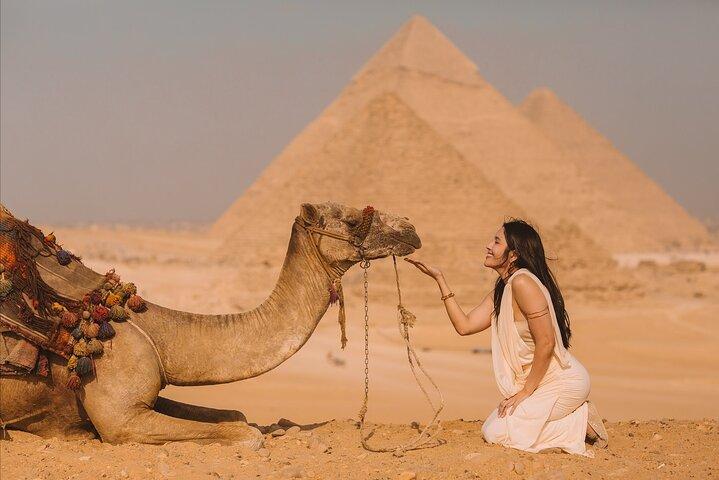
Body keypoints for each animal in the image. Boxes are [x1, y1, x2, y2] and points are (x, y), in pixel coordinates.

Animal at [0, 202, 421, 447]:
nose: (411, 230)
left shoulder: (144, 396)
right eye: (350, 221)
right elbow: (244, 433)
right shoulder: (122, 419)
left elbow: (233, 415)